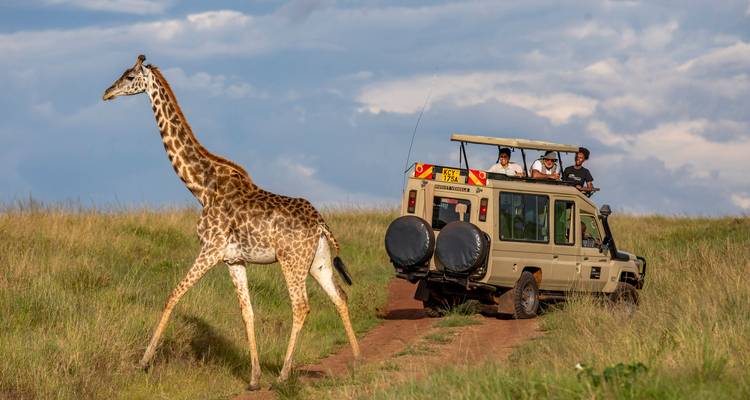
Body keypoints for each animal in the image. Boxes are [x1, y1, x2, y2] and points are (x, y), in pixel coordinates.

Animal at [102, 55, 360, 389]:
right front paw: (253, 378)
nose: (106, 93)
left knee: (301, 305)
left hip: (291, 260)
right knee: (339, 297)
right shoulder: (234, 259)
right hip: (317, 261)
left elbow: (173, 295)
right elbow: (246, 312)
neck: (201, 187)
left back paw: (284, 374)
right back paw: (358, 360)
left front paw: (144, 362)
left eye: (130, 76)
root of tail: (320, 223)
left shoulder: (210, 249)